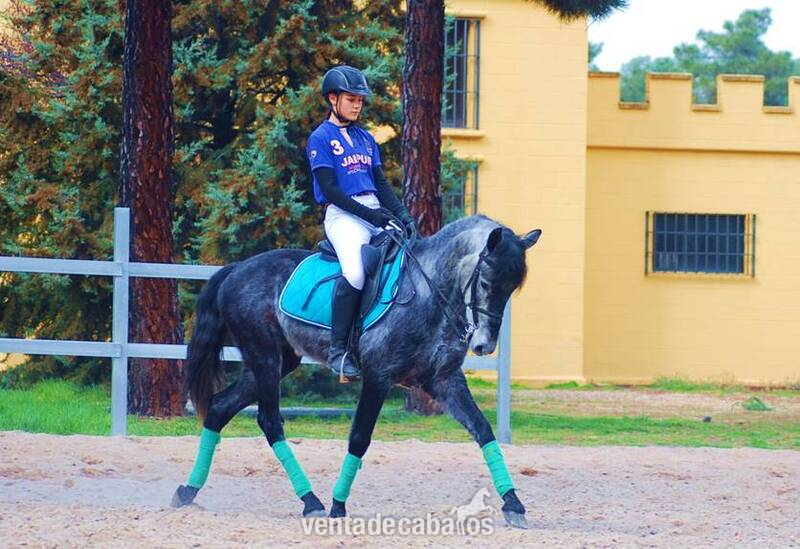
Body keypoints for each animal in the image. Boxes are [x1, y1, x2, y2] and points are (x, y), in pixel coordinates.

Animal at [171, 214, 541, 529]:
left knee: (220, 407)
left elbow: (483, 430)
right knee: (270, 421)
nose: (483, 346)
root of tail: (236, 269)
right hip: (264, 358)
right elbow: (360, 438)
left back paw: (187, 491)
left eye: (512, 288)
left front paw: (513, 504)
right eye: (485, 282)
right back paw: (312, 501)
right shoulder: (378, 376)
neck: (429, 292)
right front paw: (338, 505)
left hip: (276, 361)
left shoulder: (443, 380)